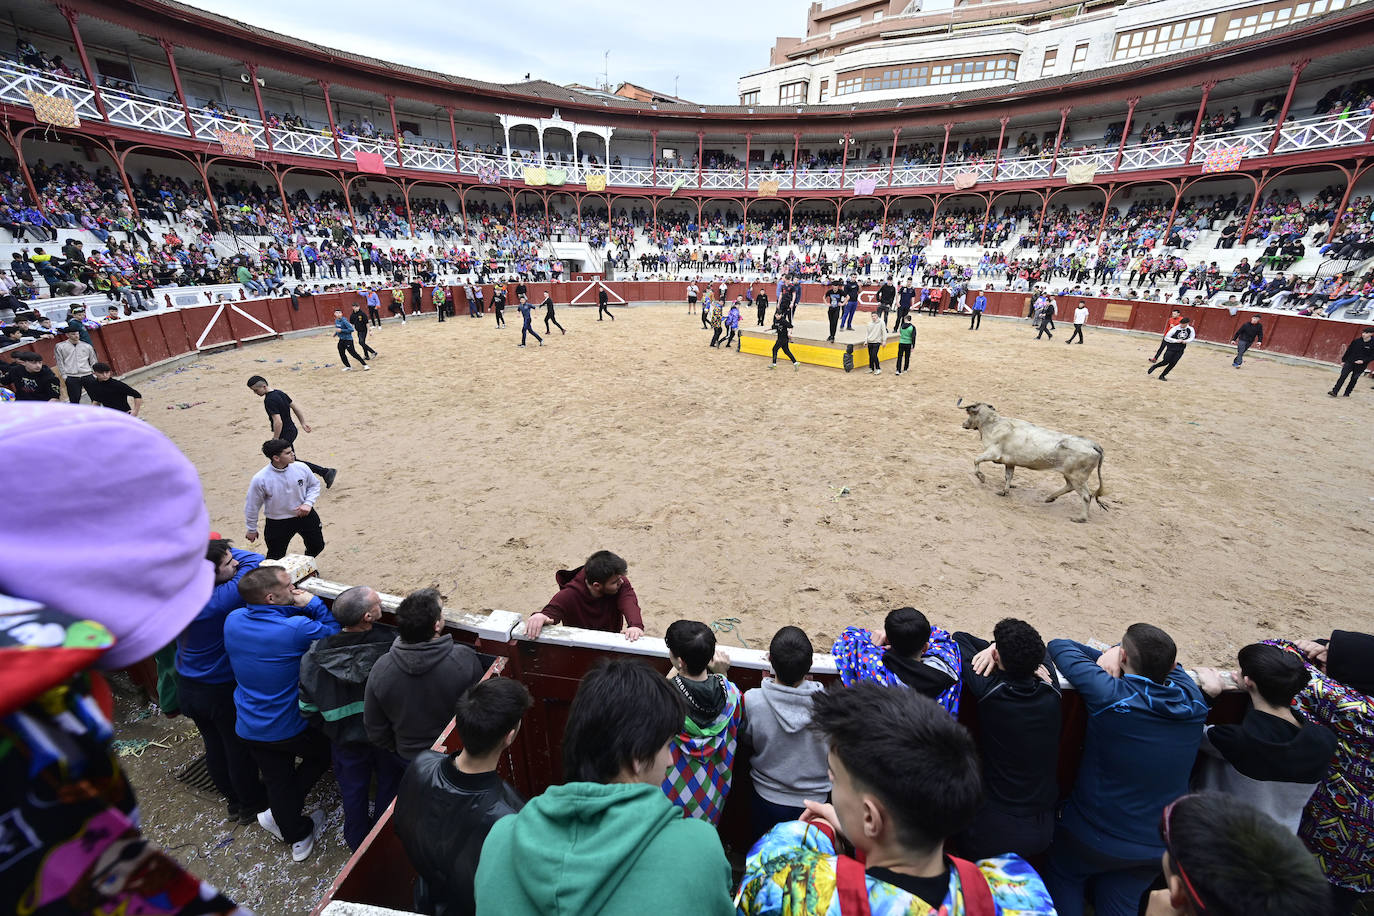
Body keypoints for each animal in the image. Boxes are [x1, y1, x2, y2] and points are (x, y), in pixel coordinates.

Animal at [961, 403, 1110, 521]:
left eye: (970, 413)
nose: (963, 424)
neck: (993, 424)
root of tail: (1093, 444)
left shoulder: (993, 453)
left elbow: (976, 460)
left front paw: (982, 478)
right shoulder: (1010, 462)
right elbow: (1008, 476)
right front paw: (1004, 491)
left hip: (1077, 476)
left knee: (1085, 496)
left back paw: (1080, 518)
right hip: (1071, 475)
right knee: (1070, 486)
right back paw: (1050, 498)